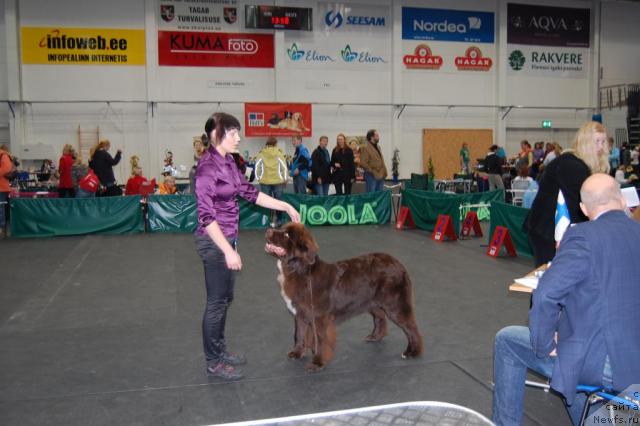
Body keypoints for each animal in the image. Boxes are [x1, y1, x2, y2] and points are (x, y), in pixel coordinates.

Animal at [262, 225, 422, 372]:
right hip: (372, 303)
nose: (268, 230)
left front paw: (317, 363)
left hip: (395, 305)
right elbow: (298, 334)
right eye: (282, 229)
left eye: (287, 235)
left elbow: (320, 340)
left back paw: (412, 352)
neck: (300, 270)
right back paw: (374, 337)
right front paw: (296, 353)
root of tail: (398, 263)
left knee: (411, 327)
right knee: (380, 318)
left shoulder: (320, 318)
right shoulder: (300, 314)